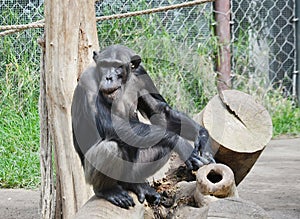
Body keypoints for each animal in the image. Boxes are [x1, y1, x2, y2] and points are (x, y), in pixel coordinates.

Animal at [71, 44, 214, 209]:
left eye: (117, 66)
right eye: (104, 65)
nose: (108, 77)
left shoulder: (142, 73)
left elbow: (159, 112)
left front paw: (202, 136)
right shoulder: (87, 81)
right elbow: (111, 125)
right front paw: (182, 145)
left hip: (135, 169)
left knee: (163, 148)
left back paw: (137, 185)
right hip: (90, 175)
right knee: (110, 148)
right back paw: (109, 191)